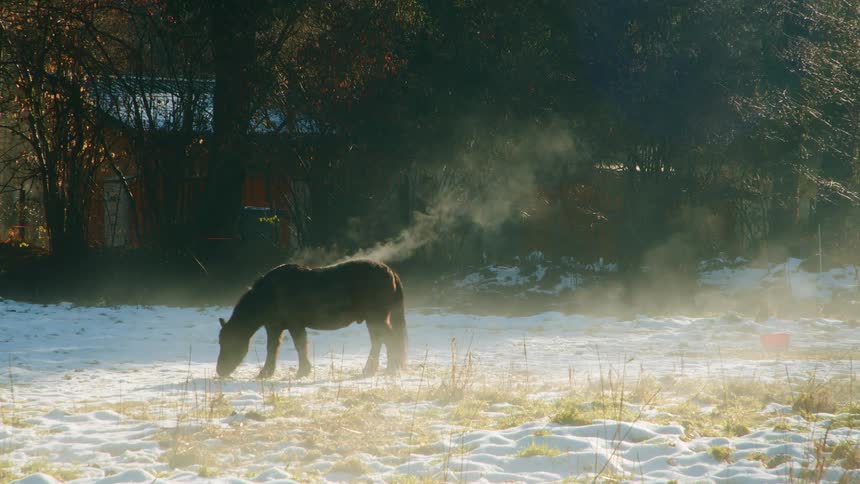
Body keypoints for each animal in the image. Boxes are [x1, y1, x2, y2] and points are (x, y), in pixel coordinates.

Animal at [215, 259, 407, 379]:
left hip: (376, 318)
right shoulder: (274, 326)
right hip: (373, 320)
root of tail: (390, 271)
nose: (220, 371)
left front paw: (302, 371)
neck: (270, 294)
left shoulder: (294, 325)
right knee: (379, 341)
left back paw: (391, 368)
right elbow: (272, 348)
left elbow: (300, 346)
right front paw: (266, 373)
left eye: (230, 343)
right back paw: (371, 369)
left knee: (390, 339)